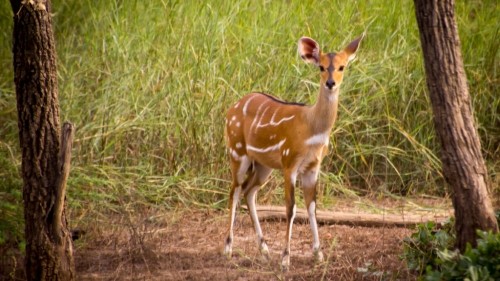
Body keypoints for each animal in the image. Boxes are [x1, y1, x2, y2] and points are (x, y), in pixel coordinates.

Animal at [225, 35, 362, 270]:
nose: (330, 83)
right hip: (238, 152)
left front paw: (319, 255)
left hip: (263, 165)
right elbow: (291, 208)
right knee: (234, 191)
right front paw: (285, 259)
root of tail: (229, 110)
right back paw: (228, 248)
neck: (312, 129)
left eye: (342, 67)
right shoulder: (290, 163)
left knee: (248, 192)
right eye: (321, 67)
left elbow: (312, 207)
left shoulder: (313, 167)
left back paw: (264, 250)